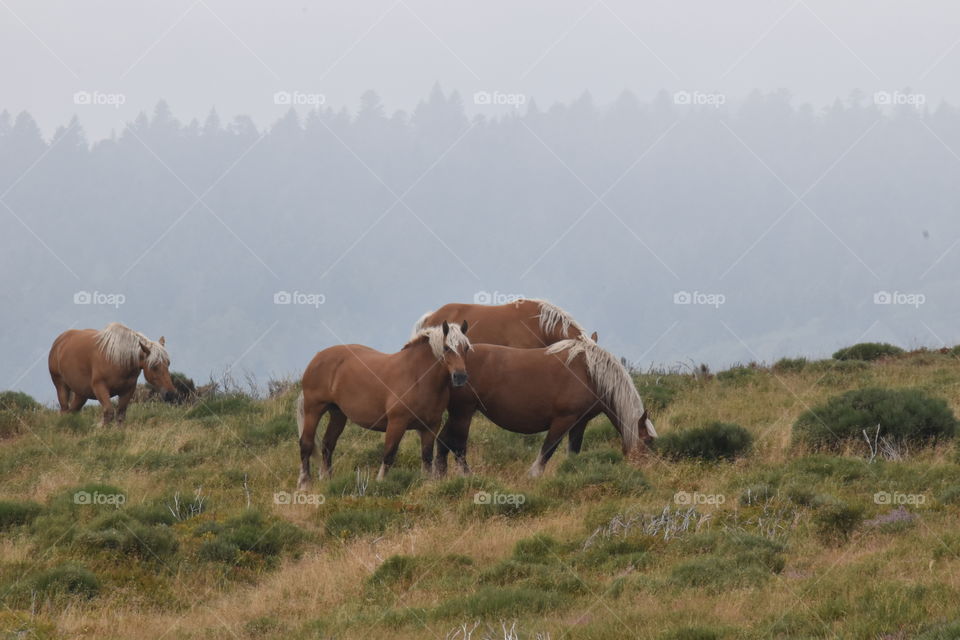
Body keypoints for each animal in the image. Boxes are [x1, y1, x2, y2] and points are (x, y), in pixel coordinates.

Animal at [48, 322, 176, 425]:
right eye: (154, 367)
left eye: (168, 364)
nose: (170, 393)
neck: (117, 358)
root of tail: (59, 342)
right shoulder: (100, 387)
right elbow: (109, 413)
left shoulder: (128, 390)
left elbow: (120, 415)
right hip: (61, 385)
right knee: (64, 410)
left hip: (81, 393)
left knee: (71, 412)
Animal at [297, 321, 471, 489]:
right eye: (447, 348)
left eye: (466, 348)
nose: (460, 377)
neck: (417, 377)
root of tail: (317, 358)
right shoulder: (397, 423)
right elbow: (389, 454)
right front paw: (380, 482)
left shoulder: (431, 426)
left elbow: (427, 456)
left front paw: (427, 482)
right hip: (313, 410)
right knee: (306, 444)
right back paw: (305, 484)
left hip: (338, 414)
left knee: (328, 444)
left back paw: (328, 480)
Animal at [435, 338, 656, 477]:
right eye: (646, 441)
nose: (647, 470)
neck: (589, 373)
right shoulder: (563, 420)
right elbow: (547, 450)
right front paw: (533, 475)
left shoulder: (579, 422)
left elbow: (573, 452)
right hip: (463, 413)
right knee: (458, 445)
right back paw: (465, 476)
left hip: (457, 414)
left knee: (443, 441)